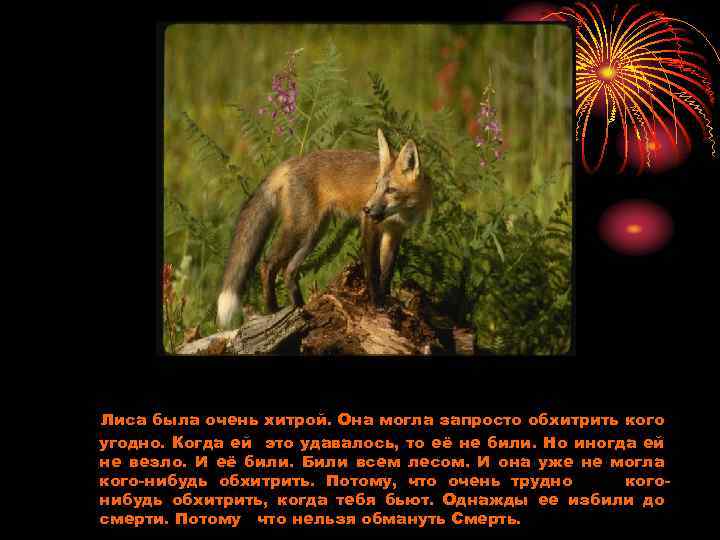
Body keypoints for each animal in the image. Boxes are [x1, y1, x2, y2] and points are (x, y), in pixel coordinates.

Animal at [216, 129, 432, 329]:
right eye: (376, 186)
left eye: (390, 190)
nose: (367, 208)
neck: (402, 212)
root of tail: (290, 162)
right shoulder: (370, 225)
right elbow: (373, 270)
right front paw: (377, 302)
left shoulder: (394, 233)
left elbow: (387, 271)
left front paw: (389, 299)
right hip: (300, 229)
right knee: (267, 264)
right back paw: (272, 311)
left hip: (314, 234)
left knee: (289, 270)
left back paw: (300, 309)